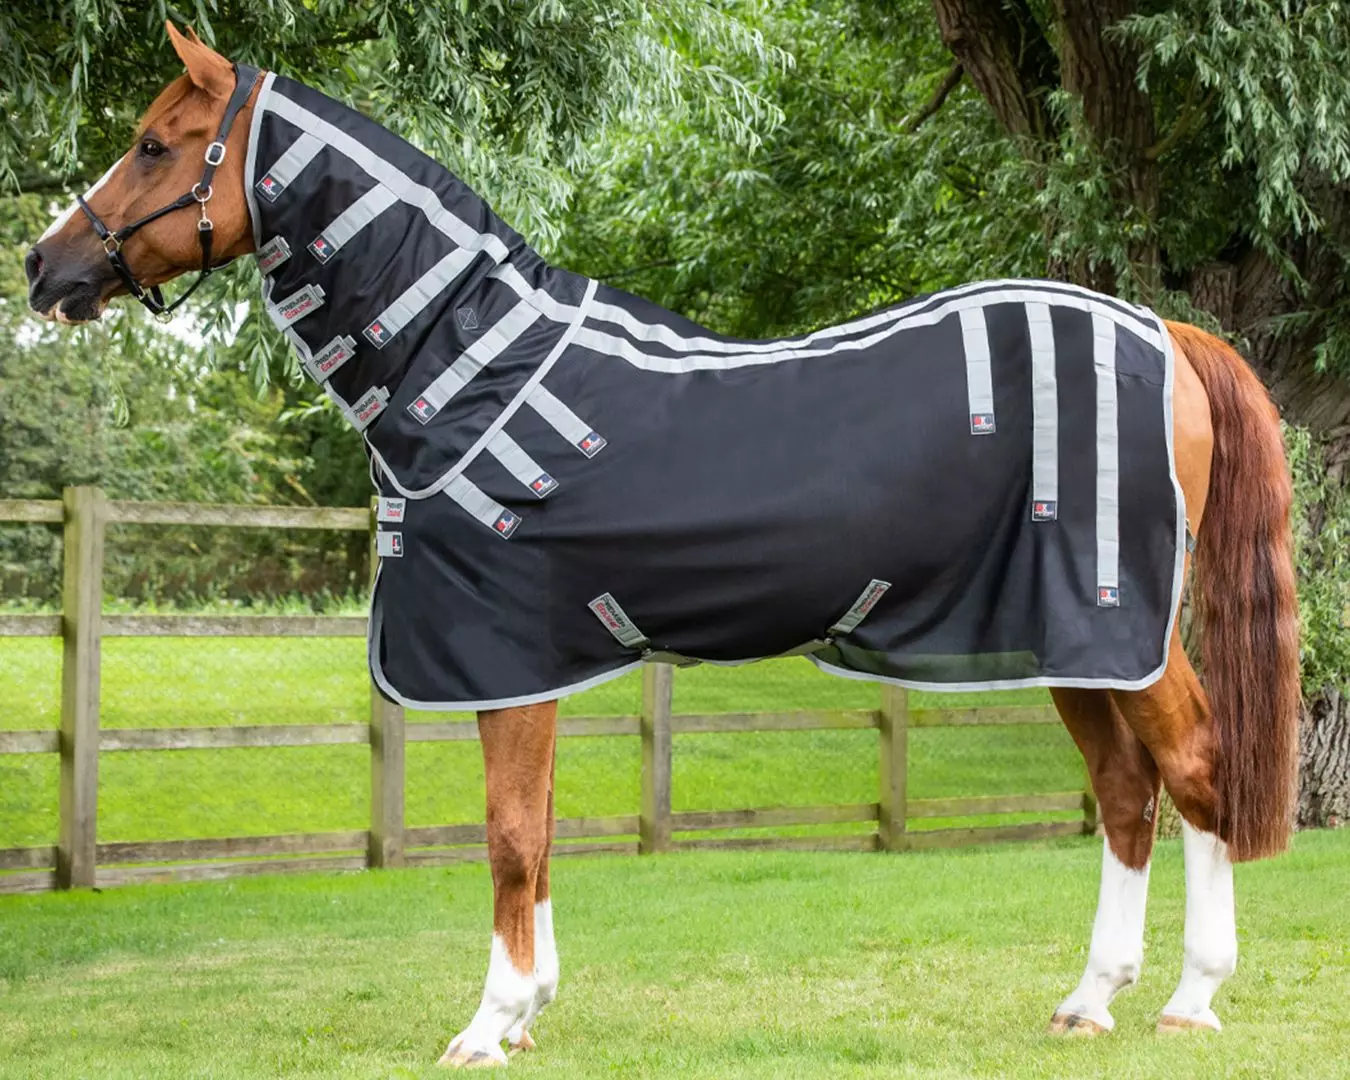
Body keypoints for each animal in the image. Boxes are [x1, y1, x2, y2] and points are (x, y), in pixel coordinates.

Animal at [25, 23, 1299, 1067]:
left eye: (153, 145)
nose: (46, 267)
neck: (478, 367)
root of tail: (1166, 332)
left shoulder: (507, 657)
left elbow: (508, 839)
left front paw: (487, 1024)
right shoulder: (534, 667)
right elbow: (538, 834)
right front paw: (529, 1012)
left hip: (1119, 625)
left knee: (1195, 770)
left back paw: (1192, 999)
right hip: (1061, 639)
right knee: (1126, 791)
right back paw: (1090, 1000)